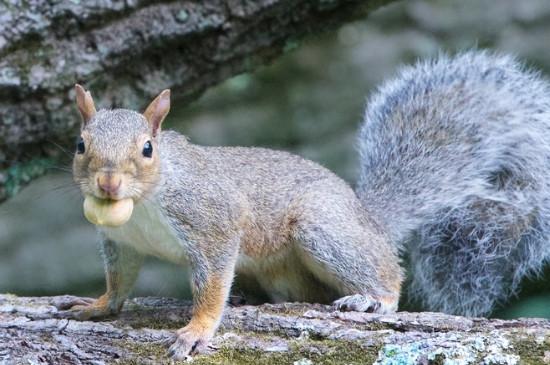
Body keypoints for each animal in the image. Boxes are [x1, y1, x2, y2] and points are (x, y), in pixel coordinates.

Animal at [61, 83, 406, 358]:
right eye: (80, 145)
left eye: (147, 148)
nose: (108, 183)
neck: (142, 203)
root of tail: (370, 221)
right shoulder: (122, 242)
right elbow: (119, 279)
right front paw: (100, 305)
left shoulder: (213, 225)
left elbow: (212, 288)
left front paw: (197, 331)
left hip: (321, 228)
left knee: (389, 280)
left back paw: (373, 300)